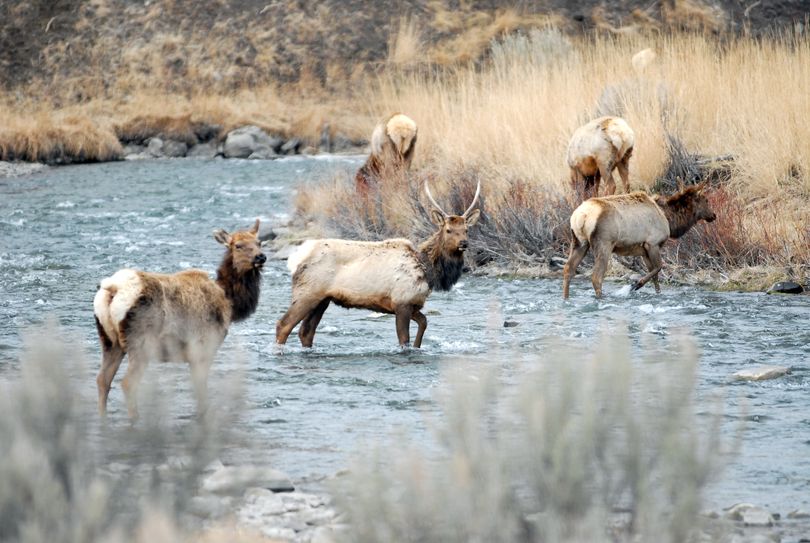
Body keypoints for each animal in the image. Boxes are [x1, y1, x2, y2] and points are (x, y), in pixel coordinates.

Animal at [93, 221, 266, 420]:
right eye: (238, 245)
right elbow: (201, 390)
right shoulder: (204, 347)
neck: (230, 303)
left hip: (109, 341)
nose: (261, 257)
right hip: (140, 343)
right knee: (128, 383)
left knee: (102, 380)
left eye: (259, 242)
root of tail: (112, 288)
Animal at [278, 182, 480, 348]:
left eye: (466, 229)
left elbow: (424, 323)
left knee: (306, 332)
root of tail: (295, 259)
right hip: (306, 293)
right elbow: (404, 339)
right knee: (284, 325)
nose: (464, 243)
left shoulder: (412, 303)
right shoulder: (401, 302)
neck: (427, 271)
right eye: (448, 230)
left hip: (322, 299)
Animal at [560, 185, 712, 300]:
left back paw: (566, 298)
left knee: (568, 269)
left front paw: (657, 293)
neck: (669, 220)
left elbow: (654, 274)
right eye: (705, 199)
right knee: (597, 276)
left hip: (579, 242)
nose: (713, 215)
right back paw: (600, 298)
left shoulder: (643, 250)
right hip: (604, 243)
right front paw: (636, 285)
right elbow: (659, 267)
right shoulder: (652, 243)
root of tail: (581, 216)